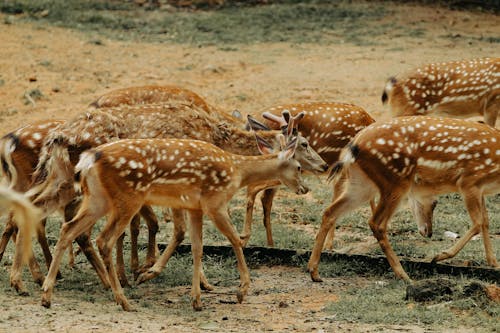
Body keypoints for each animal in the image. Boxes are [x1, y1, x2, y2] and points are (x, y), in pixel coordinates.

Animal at [40, 132, 312, 308]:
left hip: (98, 199)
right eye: (299, 167)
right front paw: (241, 291)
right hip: (128, 198)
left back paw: (46, 295)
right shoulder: (214, 202)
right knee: (103, 239)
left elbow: (197, 248)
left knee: (68, 229)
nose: (305, 188)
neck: (237, 171)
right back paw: (123, 299)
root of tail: (88, 159)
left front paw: (197, 299)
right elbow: (236, 240)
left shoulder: (194, 207)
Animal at [241, 102, 376, 248]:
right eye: (305, 144)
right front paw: (328, 245)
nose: (325, 165)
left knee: (264, 198)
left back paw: (269, 243)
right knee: (256, 191)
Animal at [308, 115, 500, 282]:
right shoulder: (469, 181)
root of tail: (353, 146)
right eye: (435, 203)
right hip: (396, 181)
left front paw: (493, 263)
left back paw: (314, 272)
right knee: (376, 223)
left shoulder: (481, 190)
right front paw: (439, 256)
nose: (429, 232)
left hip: (361, 184)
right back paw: (404, 275)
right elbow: (478, 223)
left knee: (330, 211)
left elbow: (485, 221)